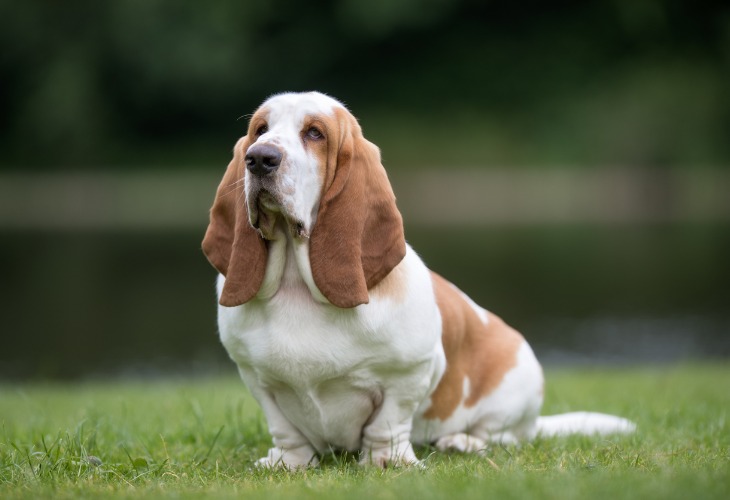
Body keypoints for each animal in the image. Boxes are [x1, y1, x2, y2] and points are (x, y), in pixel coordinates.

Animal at [200, 91, 632, 468]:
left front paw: (386, 462)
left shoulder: (410, 374)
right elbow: (286, 430)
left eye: (315, 133)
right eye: (260, 129)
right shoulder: (258, 380)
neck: (297, 284)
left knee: (503, 435)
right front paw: (288, 463)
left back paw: (462, 441)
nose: (259, 158)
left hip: (516, 389)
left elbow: (388, 424)